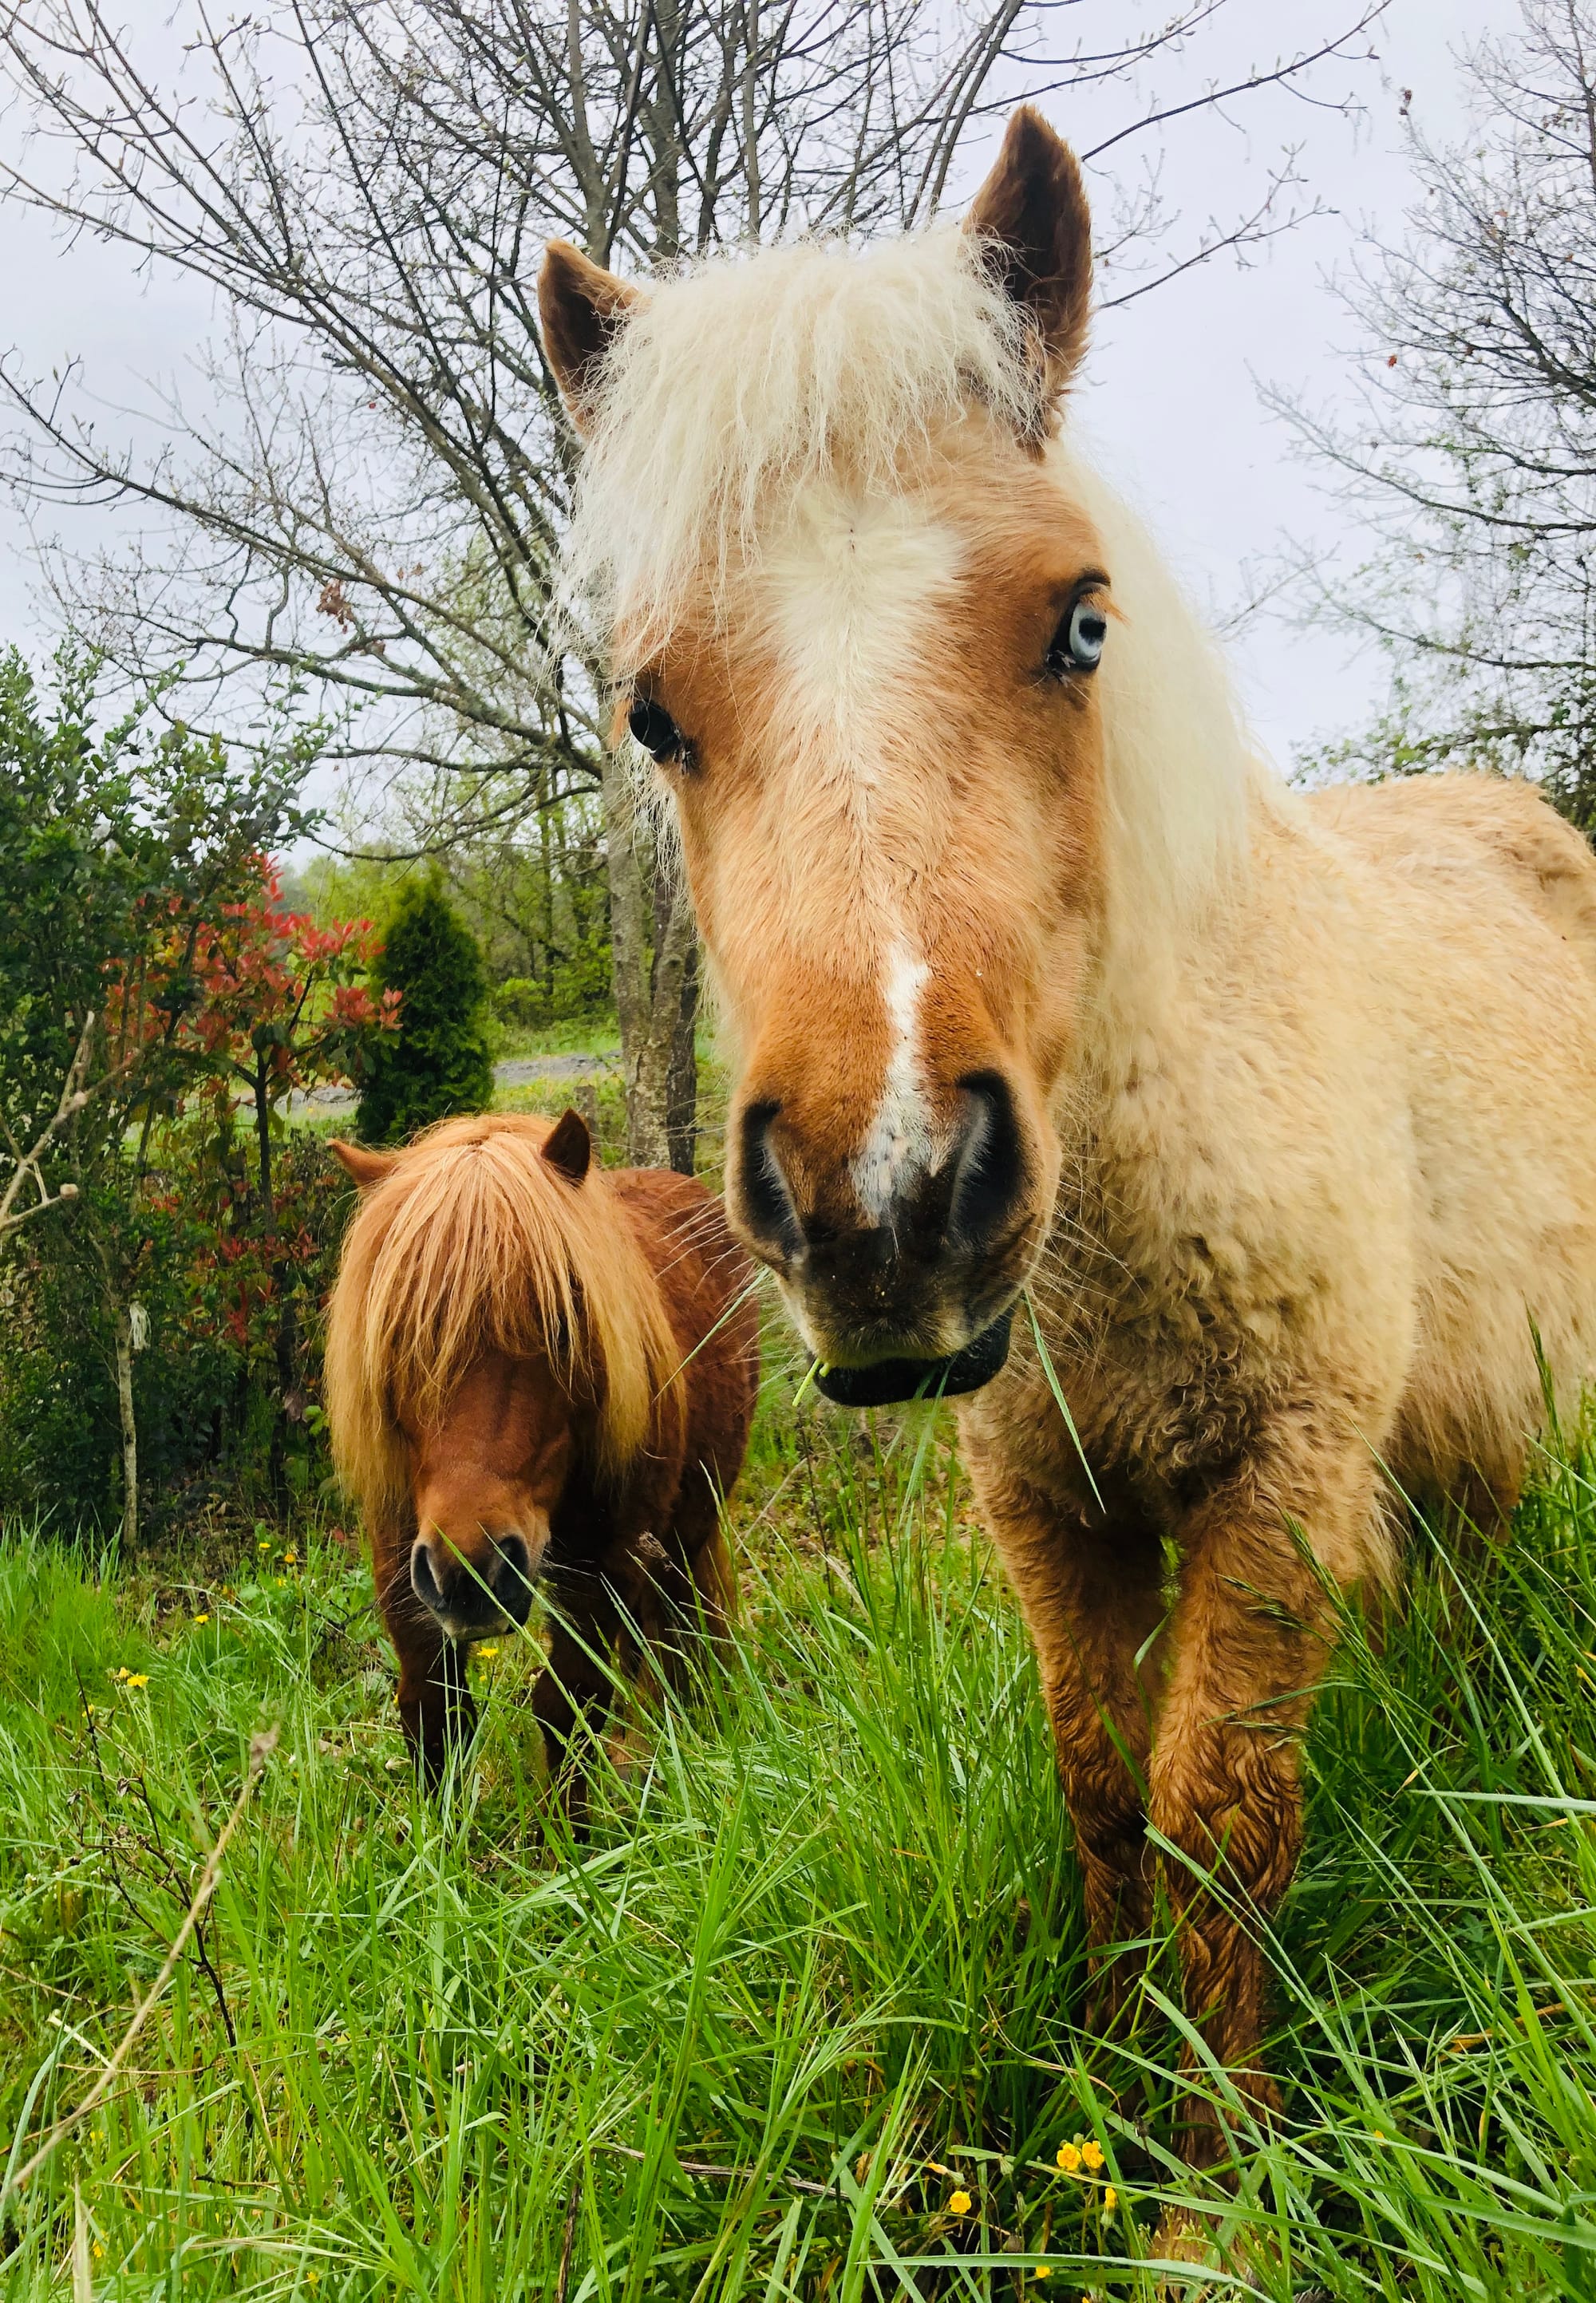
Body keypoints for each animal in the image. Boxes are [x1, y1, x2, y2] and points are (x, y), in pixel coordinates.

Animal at [324, 1105, 760, 1805]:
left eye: (560, 1327)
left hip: (684, 1539)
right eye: (396, 1339)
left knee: (677, 1642)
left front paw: (570, 1836)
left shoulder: (605, 1571)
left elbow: (568, 1707)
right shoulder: (400, 1557)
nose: (470, 1573)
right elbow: (433, 1711)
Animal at [534, 117, 1594, 2174]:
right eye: (653, 710)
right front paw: (1115, 2100)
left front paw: (1211, 2178)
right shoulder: (1049, 1512)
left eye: (1077, 623)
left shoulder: (1274, 1491)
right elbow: (1100, 1791)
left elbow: (1216, 1821)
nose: (885, 1197)